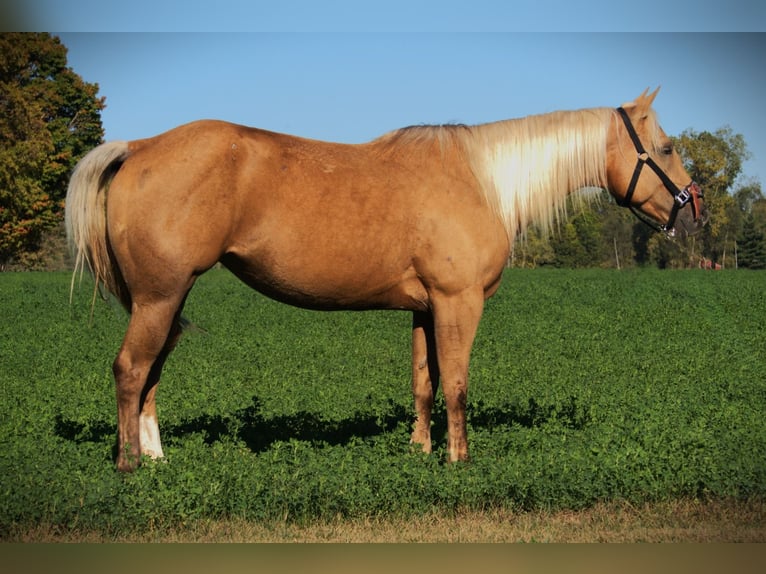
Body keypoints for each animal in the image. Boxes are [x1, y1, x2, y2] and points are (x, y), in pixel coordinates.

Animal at [66, 88, 708, 472]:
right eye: (666, 147)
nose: (693, 205)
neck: (481, 182)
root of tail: (140, 146)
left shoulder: (425, 309)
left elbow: (424, 383)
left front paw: (420, 450)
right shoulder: (458, 303)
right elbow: (457, 384)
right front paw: (458, 459)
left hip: (167, 299)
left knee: (150, 372)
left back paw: (155, 456)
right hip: (159, 296)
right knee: (130, 370)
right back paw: (128, 464)